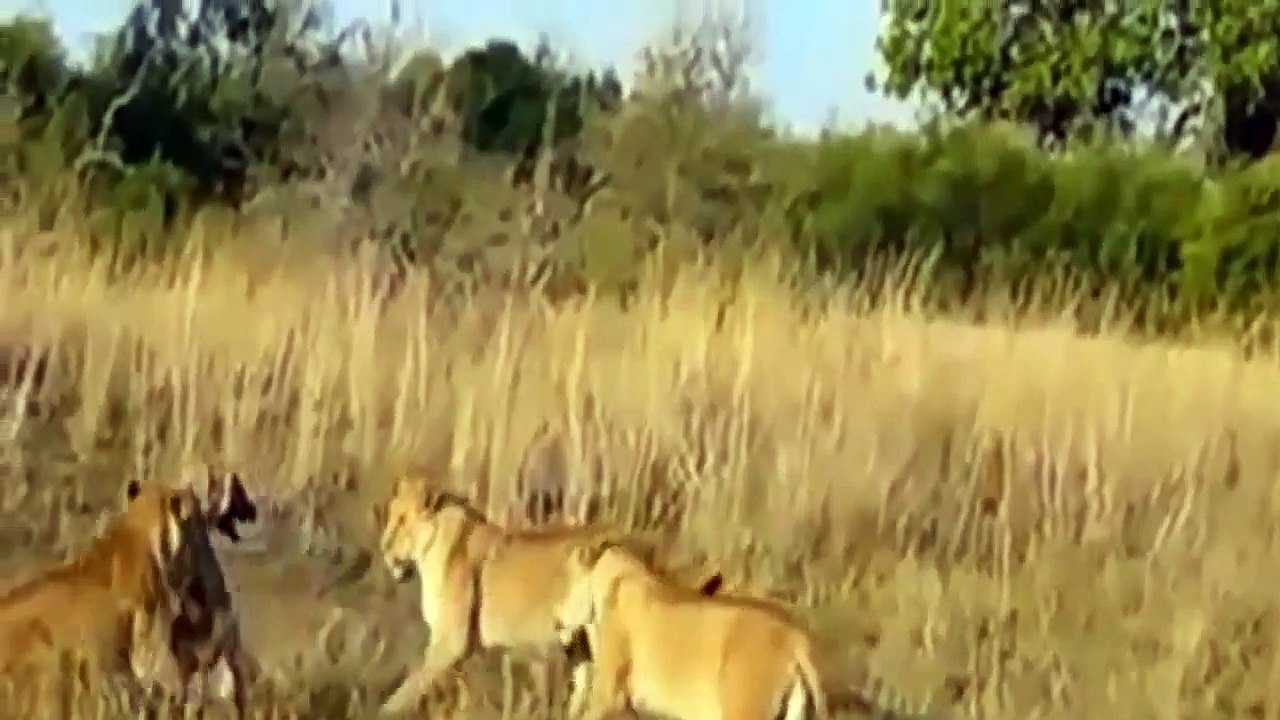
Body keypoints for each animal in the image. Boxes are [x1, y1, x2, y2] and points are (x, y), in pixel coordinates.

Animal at [376, 475, 722, 717]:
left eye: (402, 520)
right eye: (391, 516)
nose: (384, 549)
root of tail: (639, 544)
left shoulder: (452, 642)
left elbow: (406, 690)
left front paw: (382, 710)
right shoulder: (455, 648)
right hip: (580, 642)